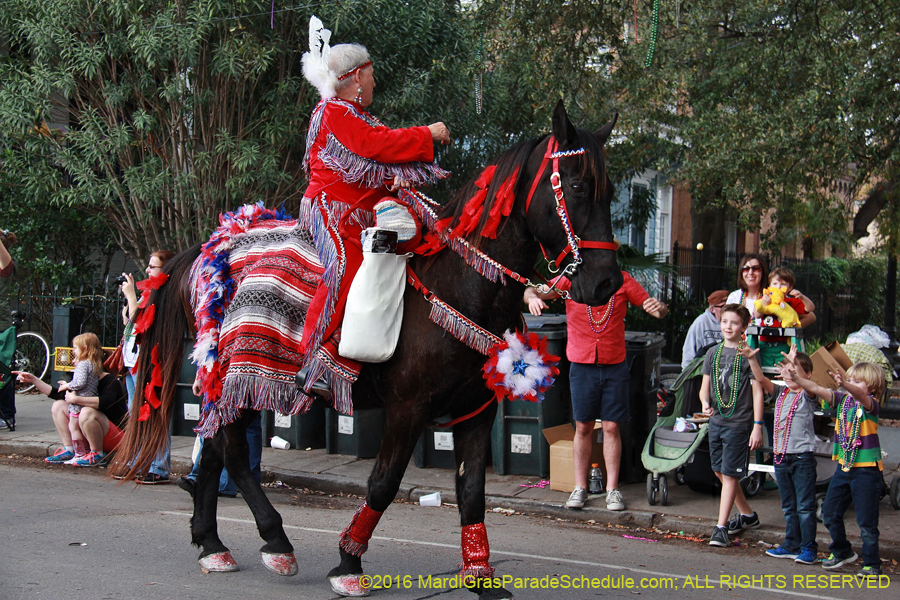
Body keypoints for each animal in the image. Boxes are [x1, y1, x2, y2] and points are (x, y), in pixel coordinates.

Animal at [112, 101, 624, 596]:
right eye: (577, 185)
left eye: (611, 190)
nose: (606, 284)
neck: (461, 286)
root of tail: (208, 251)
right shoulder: (407, 408)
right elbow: (383, 484)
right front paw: (348, 564)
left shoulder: (475, 412)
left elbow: (472, 493)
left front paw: (481, 578)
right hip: (239, 376)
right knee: (233, 452)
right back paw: (275, 541)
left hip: (230, 385)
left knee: (216, 446)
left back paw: (212, 544)